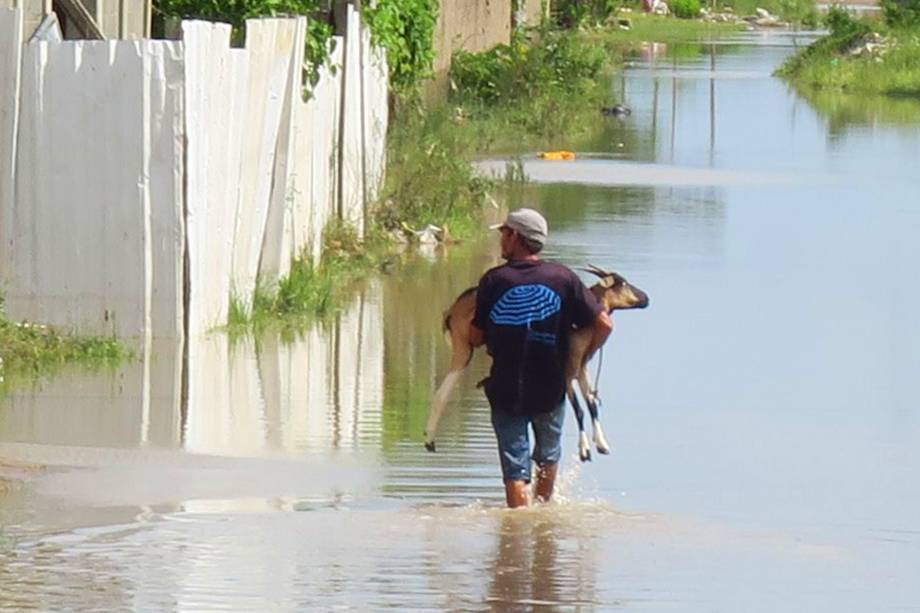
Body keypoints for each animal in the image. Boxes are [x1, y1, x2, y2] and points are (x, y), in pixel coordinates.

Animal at [424, 266, 648, 462]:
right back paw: (429, 439)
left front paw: (602, 444)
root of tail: (451, 310)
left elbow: (592, 404)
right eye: (623, 283)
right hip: (463, 347)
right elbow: (579, 409)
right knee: (442, 393)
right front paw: (584, 450)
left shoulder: (582, 367)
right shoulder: (568, 370)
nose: (646, 298)